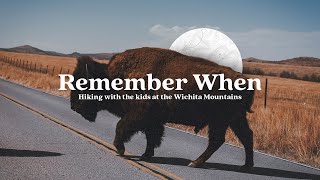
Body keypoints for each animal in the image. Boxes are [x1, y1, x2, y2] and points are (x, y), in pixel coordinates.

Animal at [70, 47, 255, 169]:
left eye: (83, 84)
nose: (73, 106)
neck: (112, 76)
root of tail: (246, 81)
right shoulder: (152, 121)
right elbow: (152, 137)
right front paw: (146, 155)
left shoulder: (137, 115)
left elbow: (121, 127)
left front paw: (120, 149)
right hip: (234, 119)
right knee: (246, 136)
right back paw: (246, 165)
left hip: (219, 120)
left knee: (218, 140)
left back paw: (194, 163)